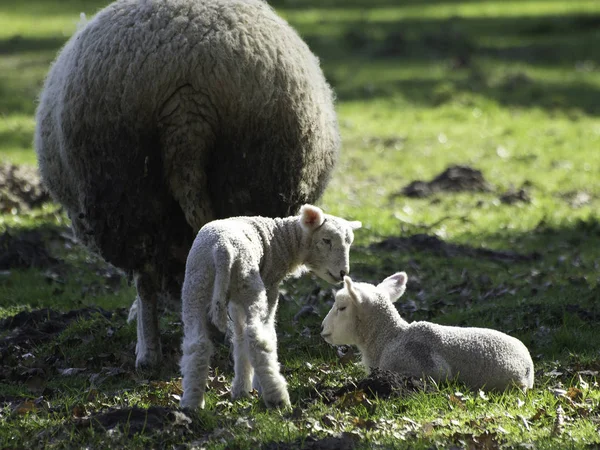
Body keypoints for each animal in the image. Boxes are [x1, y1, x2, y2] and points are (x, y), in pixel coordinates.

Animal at [179, 206, 360, 410]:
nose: (343, 273)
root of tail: (222, 251)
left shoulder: (236, 302)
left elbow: (239, 339)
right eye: (326, 240)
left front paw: (241, 389)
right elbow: (268, 333)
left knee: (197, 343)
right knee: (257, 339)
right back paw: (277, 397)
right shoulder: (270, 286)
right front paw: (256, 386)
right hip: (250, 284)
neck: (283, 239)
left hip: (197, 286)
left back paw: (191, 403)